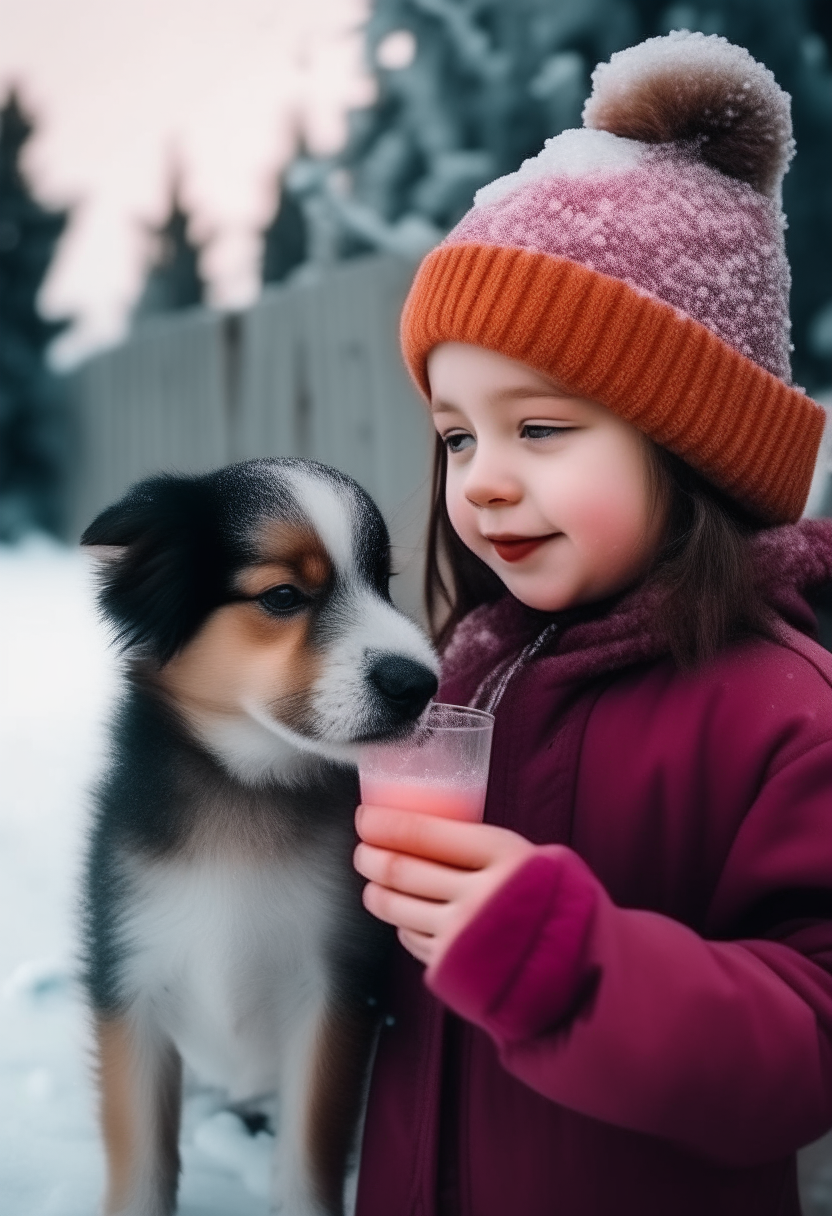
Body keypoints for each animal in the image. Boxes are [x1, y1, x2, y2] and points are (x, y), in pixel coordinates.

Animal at [80, 457, 437, 1216]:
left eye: (384, 582)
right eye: (282, 596)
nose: (420, 683)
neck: (248, 791)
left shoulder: (336, 990)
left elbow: (308, 1154)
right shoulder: (129, 977)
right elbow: (140, 1159)